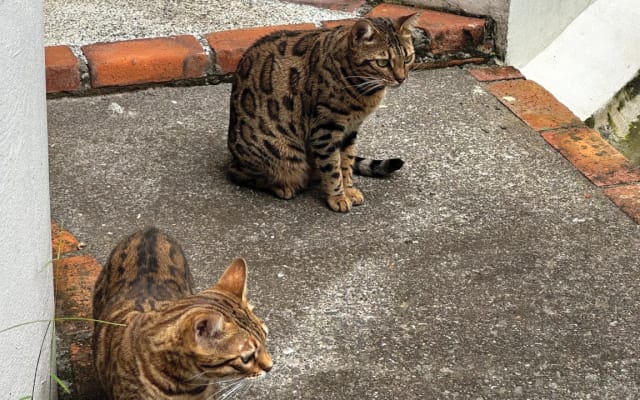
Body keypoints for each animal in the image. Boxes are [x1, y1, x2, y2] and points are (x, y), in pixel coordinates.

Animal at [228, 14, 418, 212]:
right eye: (382, 62)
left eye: (407, 58)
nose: (401, 79)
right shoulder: (325, 129)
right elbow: (332, 168)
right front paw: (338, 197)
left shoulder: (350, 130)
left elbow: (346, 162)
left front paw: (348, 190)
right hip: (281, 153)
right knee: (238, 173)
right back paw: (282, 186)